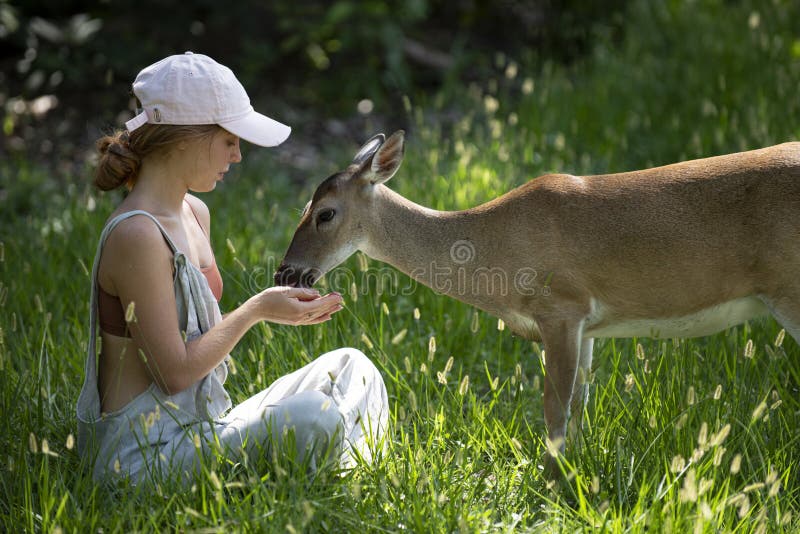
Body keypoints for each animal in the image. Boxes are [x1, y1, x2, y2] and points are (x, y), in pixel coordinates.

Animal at [276, 131, 800, 482]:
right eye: (300, 207)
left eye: (325, 214)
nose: (286, 274)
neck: (494, 249)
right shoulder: (586, 326)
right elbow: (580, 401)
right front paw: (576, 469)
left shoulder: (561, 307)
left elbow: (554, 405)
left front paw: (552, 481)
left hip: (789, 290)